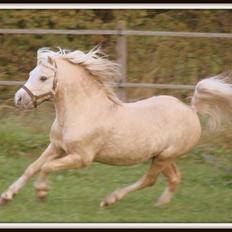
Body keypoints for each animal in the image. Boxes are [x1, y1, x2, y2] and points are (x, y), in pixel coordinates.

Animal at [0, 46, 232, 207]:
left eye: (43, 77)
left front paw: (41, 193)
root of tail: (191, 110)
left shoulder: (81, 158)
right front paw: (7, 196)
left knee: (149, 180)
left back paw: (110, 200)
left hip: (165, 157)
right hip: (162, 156)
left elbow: (46, 167)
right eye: (31, 73)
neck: (82, 112)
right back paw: (160, 205)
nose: (19, 99)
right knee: (174, 178)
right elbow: (32, 167)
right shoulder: (57, 147)